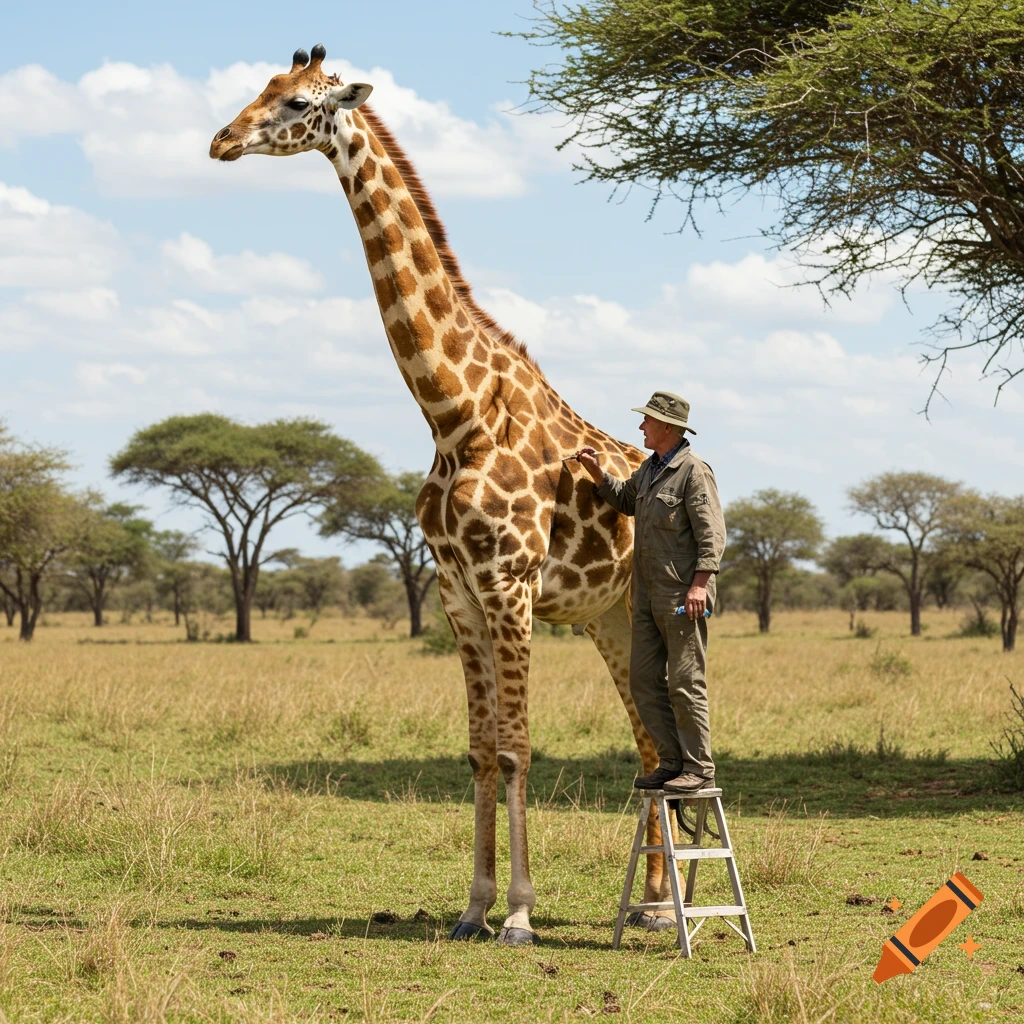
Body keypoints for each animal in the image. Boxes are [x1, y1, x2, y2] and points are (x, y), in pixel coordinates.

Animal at [210, 44, 678, 945]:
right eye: (258, 89)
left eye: (296, 103)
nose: (220, 141)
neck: (453, 410)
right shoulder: (455, 588)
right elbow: (479, 749)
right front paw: (472, 909)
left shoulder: (510, 584)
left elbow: (518, 747)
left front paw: (521, 917)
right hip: (607, 617)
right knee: (648, 746)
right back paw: (649, 903)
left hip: (663, 612)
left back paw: (668, 902)